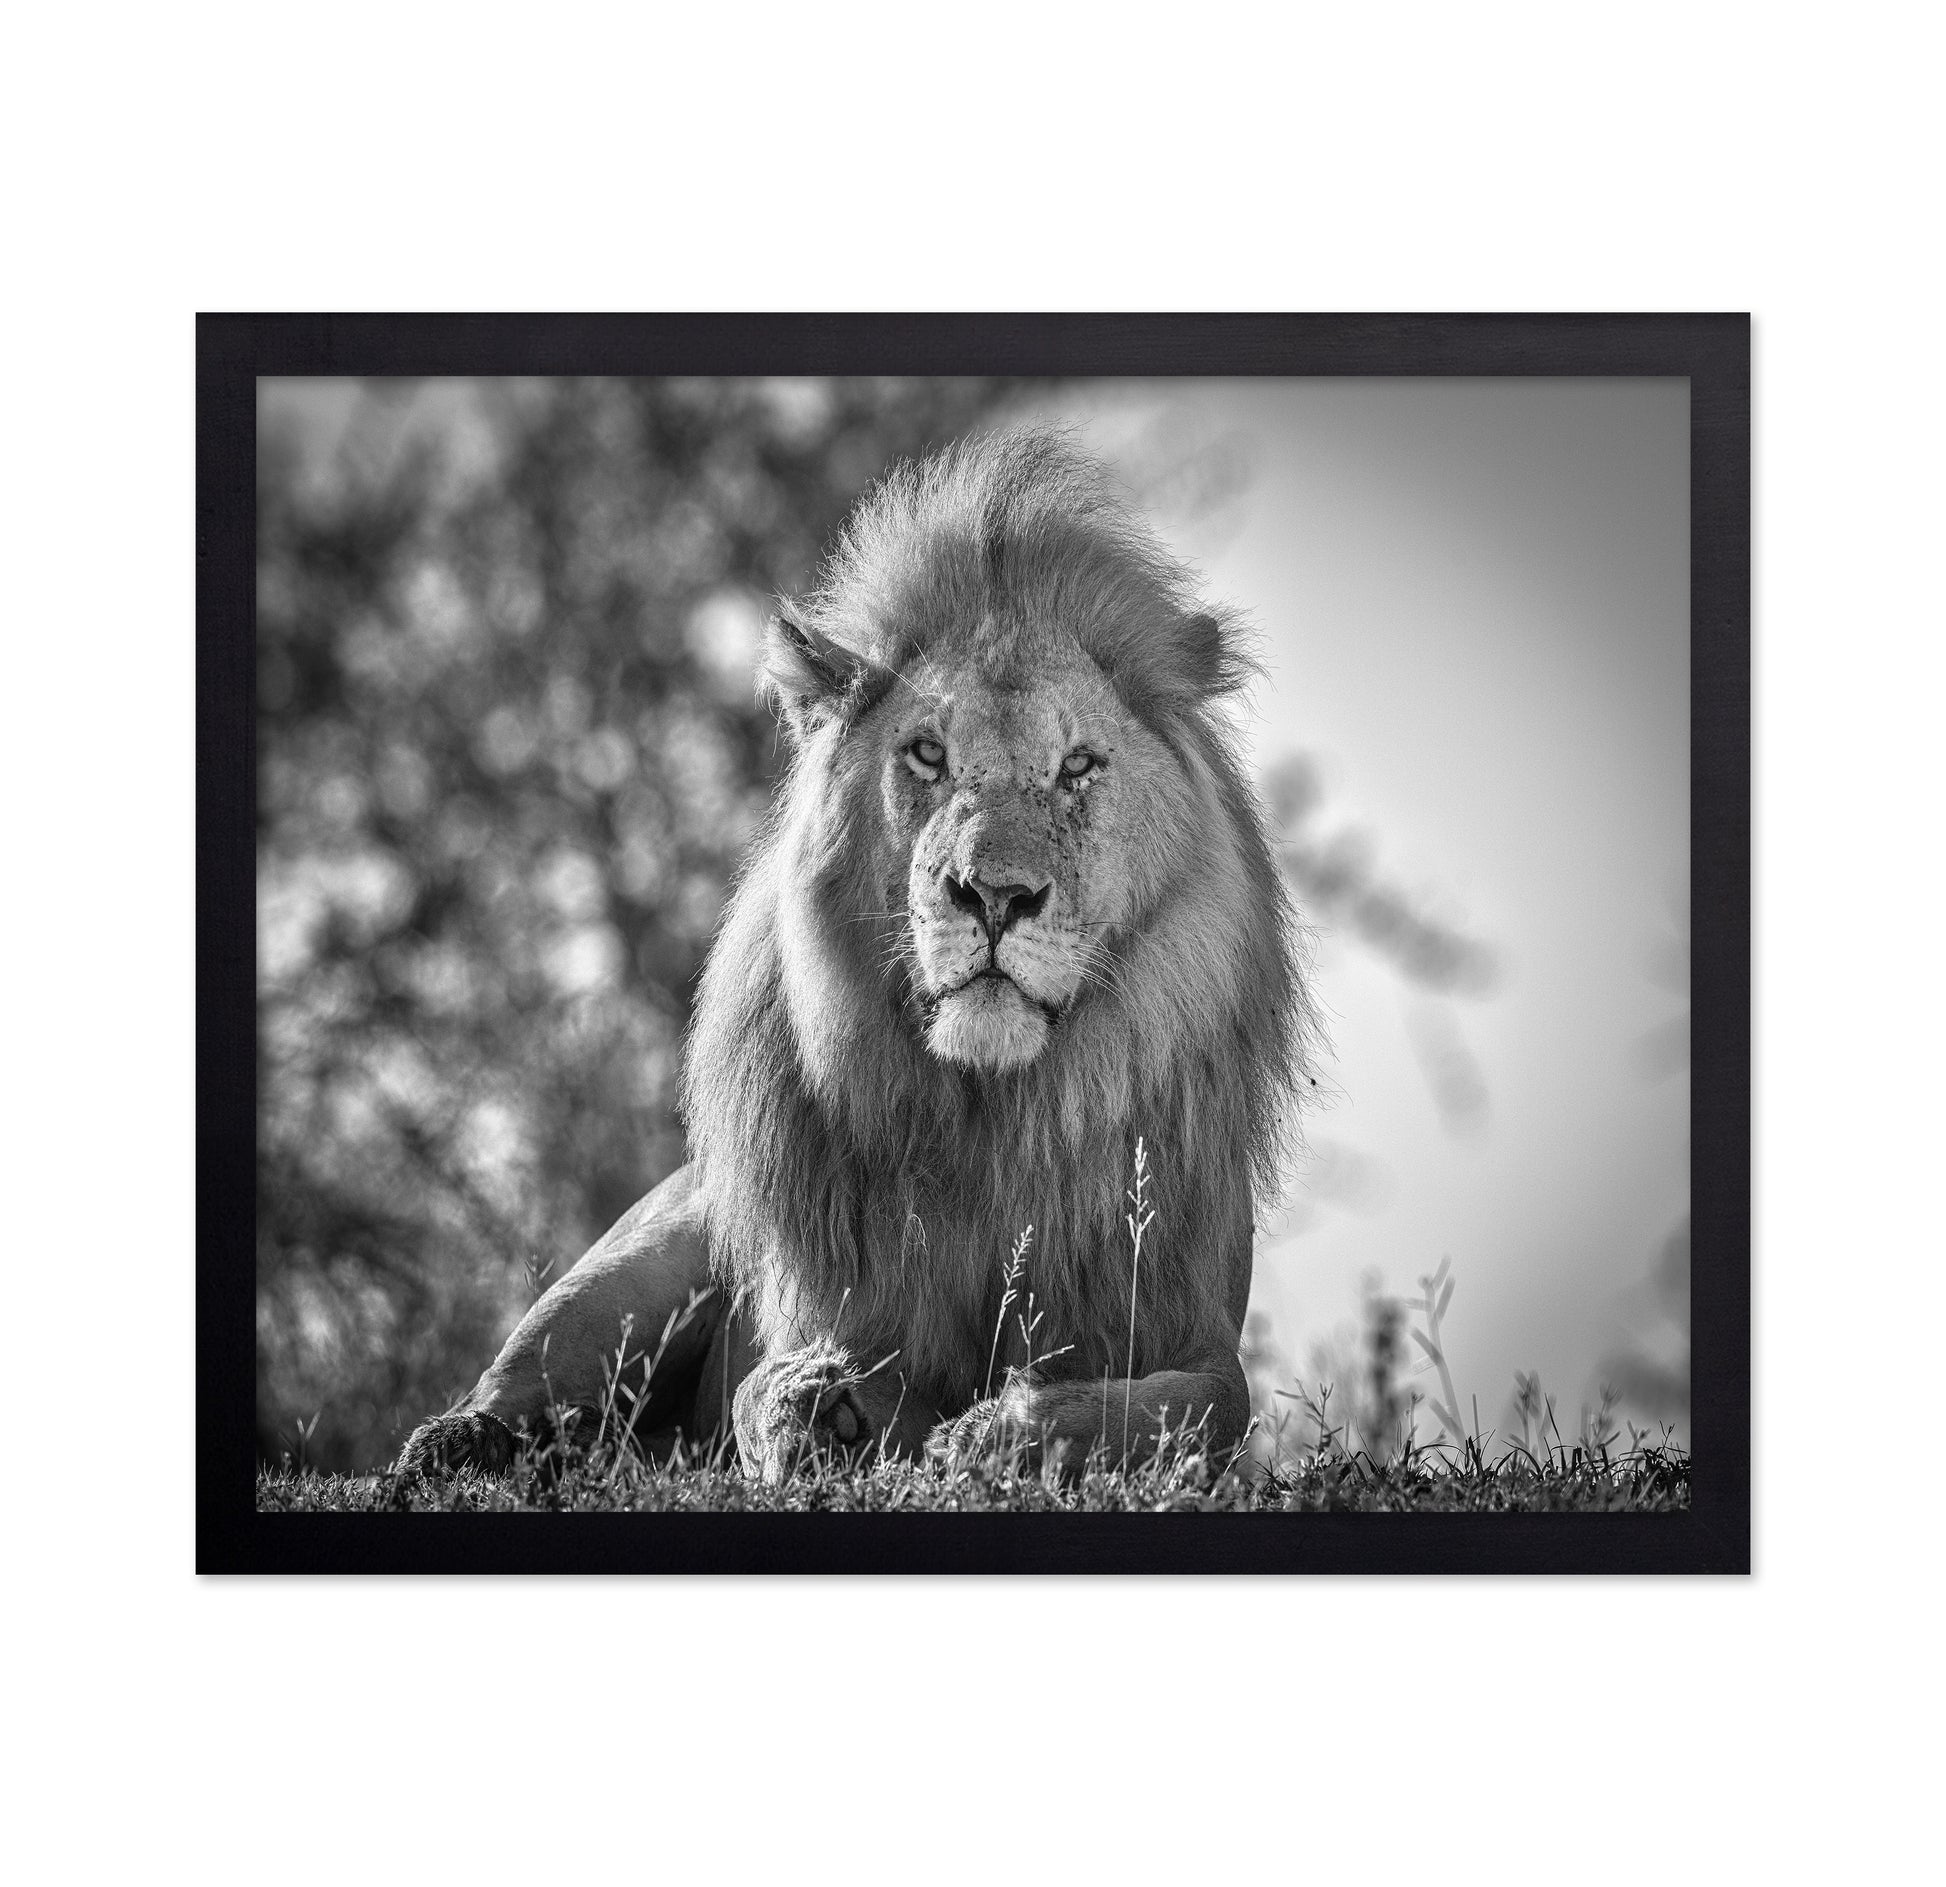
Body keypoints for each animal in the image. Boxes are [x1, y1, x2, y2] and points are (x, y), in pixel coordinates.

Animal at [396, 426, 1311, 1484]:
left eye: (1078, 765)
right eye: (927, 756)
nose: (995, 895)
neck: (997, 1118)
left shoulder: (1195, 1330)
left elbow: (1190, 1410)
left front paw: (1003, 1429)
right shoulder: (819, 1308)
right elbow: (765, 1385)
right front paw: (824, 1407)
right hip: (646, 1256)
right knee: (522, 1385)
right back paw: (457, 1444)